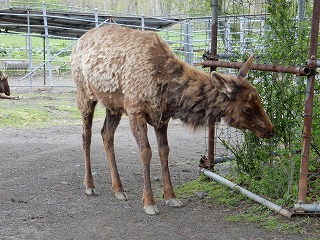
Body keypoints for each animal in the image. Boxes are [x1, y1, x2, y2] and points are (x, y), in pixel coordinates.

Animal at [70, 24, 276, 216]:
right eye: (247, 108)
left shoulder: (161, 117)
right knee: (86, 136)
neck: (170, 93)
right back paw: (90, 185)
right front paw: (149, 202)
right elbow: (146, 152)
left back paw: (118, 189)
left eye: (258, 98)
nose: (271, 129)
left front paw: (171, 196)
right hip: (85, 95)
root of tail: (77, 44)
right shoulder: (136, 109)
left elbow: (164, 151)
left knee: (106, 134)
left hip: (113, 105)